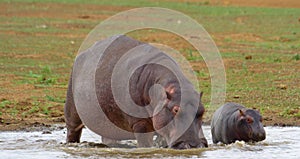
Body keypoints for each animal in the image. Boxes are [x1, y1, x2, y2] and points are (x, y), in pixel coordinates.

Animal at [64, 34, 207, 149]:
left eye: (202, 110)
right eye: (175, 109)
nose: (194, 145)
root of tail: (83, 54)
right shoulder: (140, 124)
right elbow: (145, 144)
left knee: (108, 137)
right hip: (72, 111)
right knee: (73, 130)